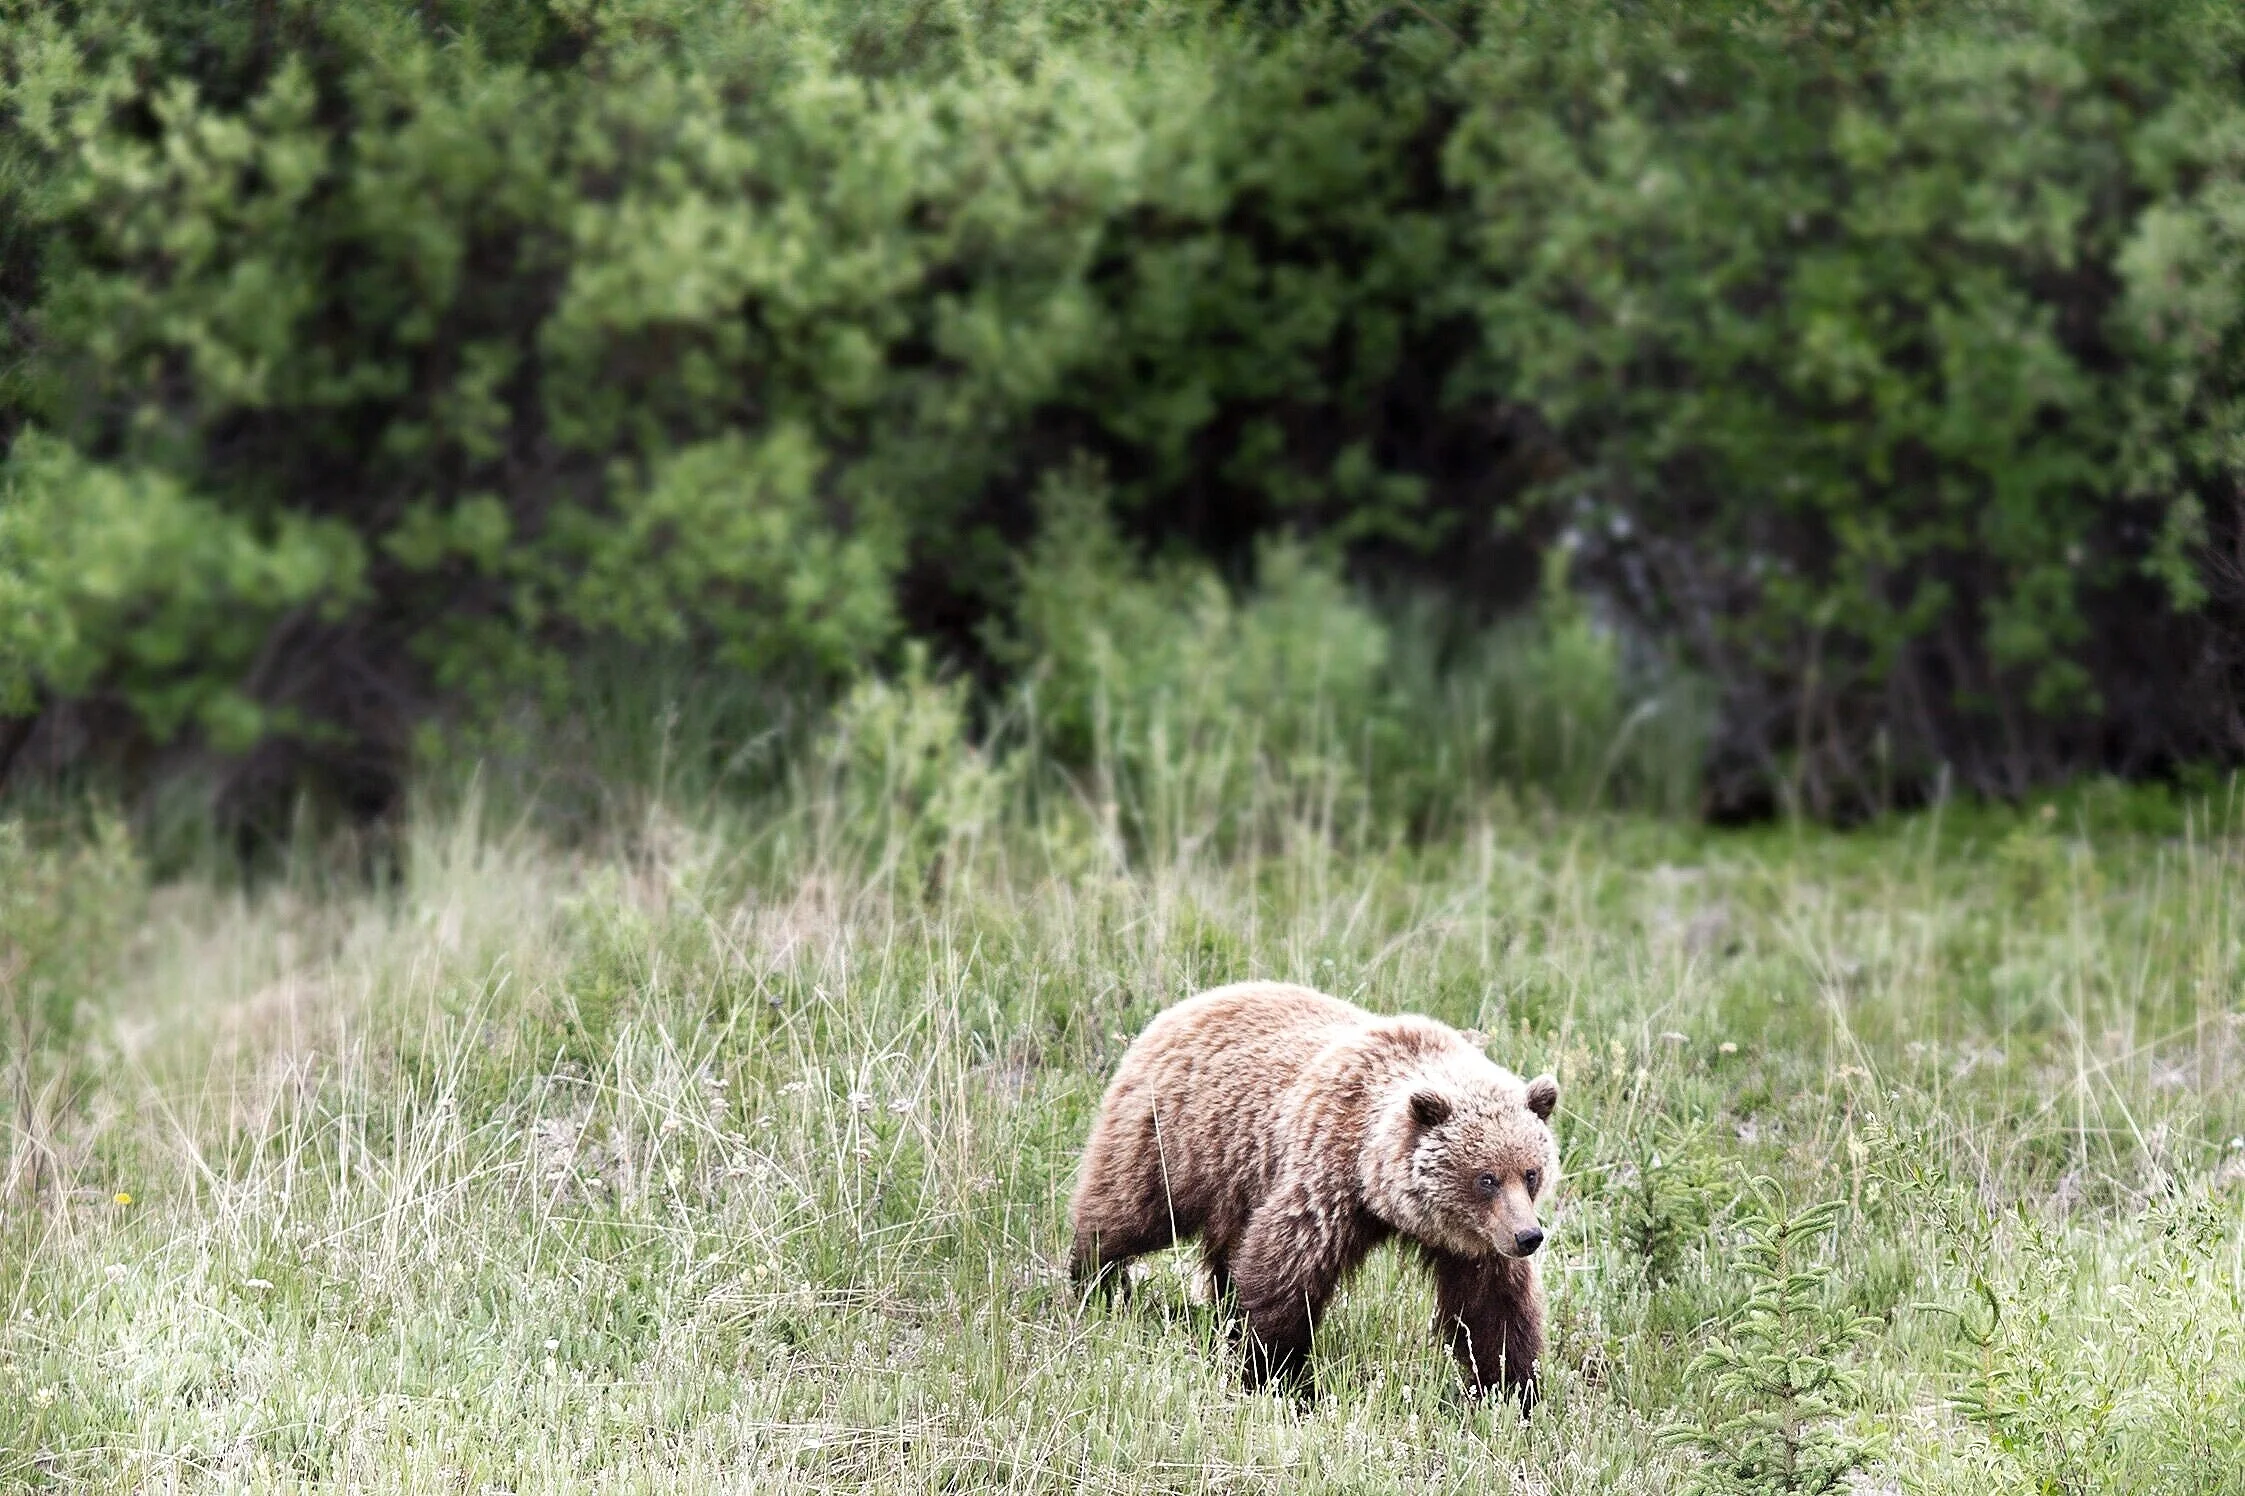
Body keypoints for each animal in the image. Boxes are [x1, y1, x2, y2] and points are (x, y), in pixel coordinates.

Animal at [1068, 981, 1561, 1405]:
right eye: (1486, 1178)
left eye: (1531, 1173)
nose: (1528, 1237)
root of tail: (1187, 1004)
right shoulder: (1326, 1178)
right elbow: (1286, 1271)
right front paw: (1274, 1372)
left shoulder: (1475, 1243)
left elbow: (1494, 1308)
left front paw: (1512, 1390)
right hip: (1178, 1141)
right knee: (1128, 1210)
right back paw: (1095, 1283)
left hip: (1237, 1180)